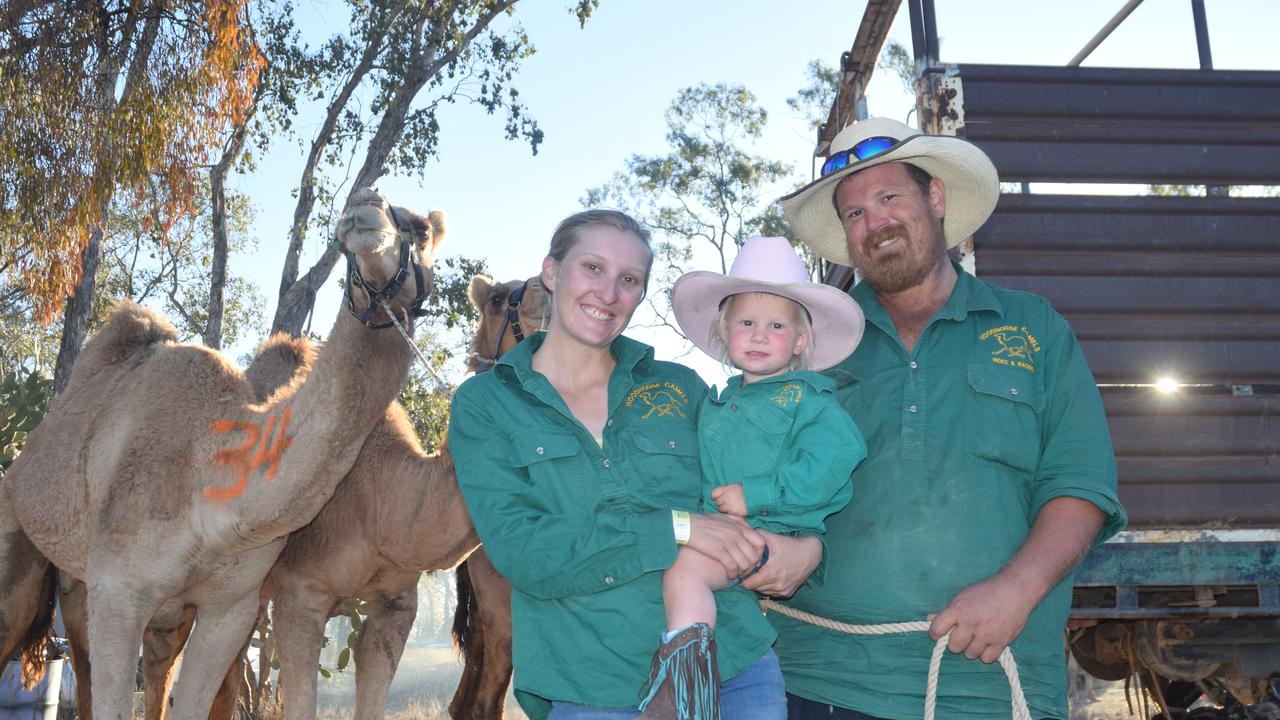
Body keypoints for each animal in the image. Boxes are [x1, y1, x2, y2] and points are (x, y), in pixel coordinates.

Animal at [0, 185, 442, 720]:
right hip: (26, 539)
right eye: (345, 224)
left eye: (420, 230)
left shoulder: (231, 606)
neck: (210, 478)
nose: (364, 211)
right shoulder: (118, 591)